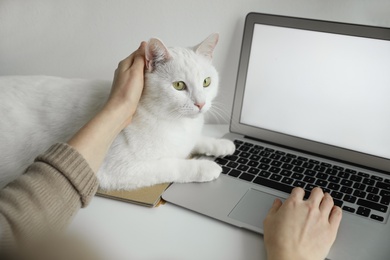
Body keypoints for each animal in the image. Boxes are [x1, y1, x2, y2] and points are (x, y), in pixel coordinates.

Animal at [0, 33, 235, 190]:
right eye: (179, 86)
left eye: (206, 82)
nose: (200, 104)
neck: (177, 123)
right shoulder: (119, 170)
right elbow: (172, 165)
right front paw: (205, 168)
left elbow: (198, 141)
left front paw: (222, 144)